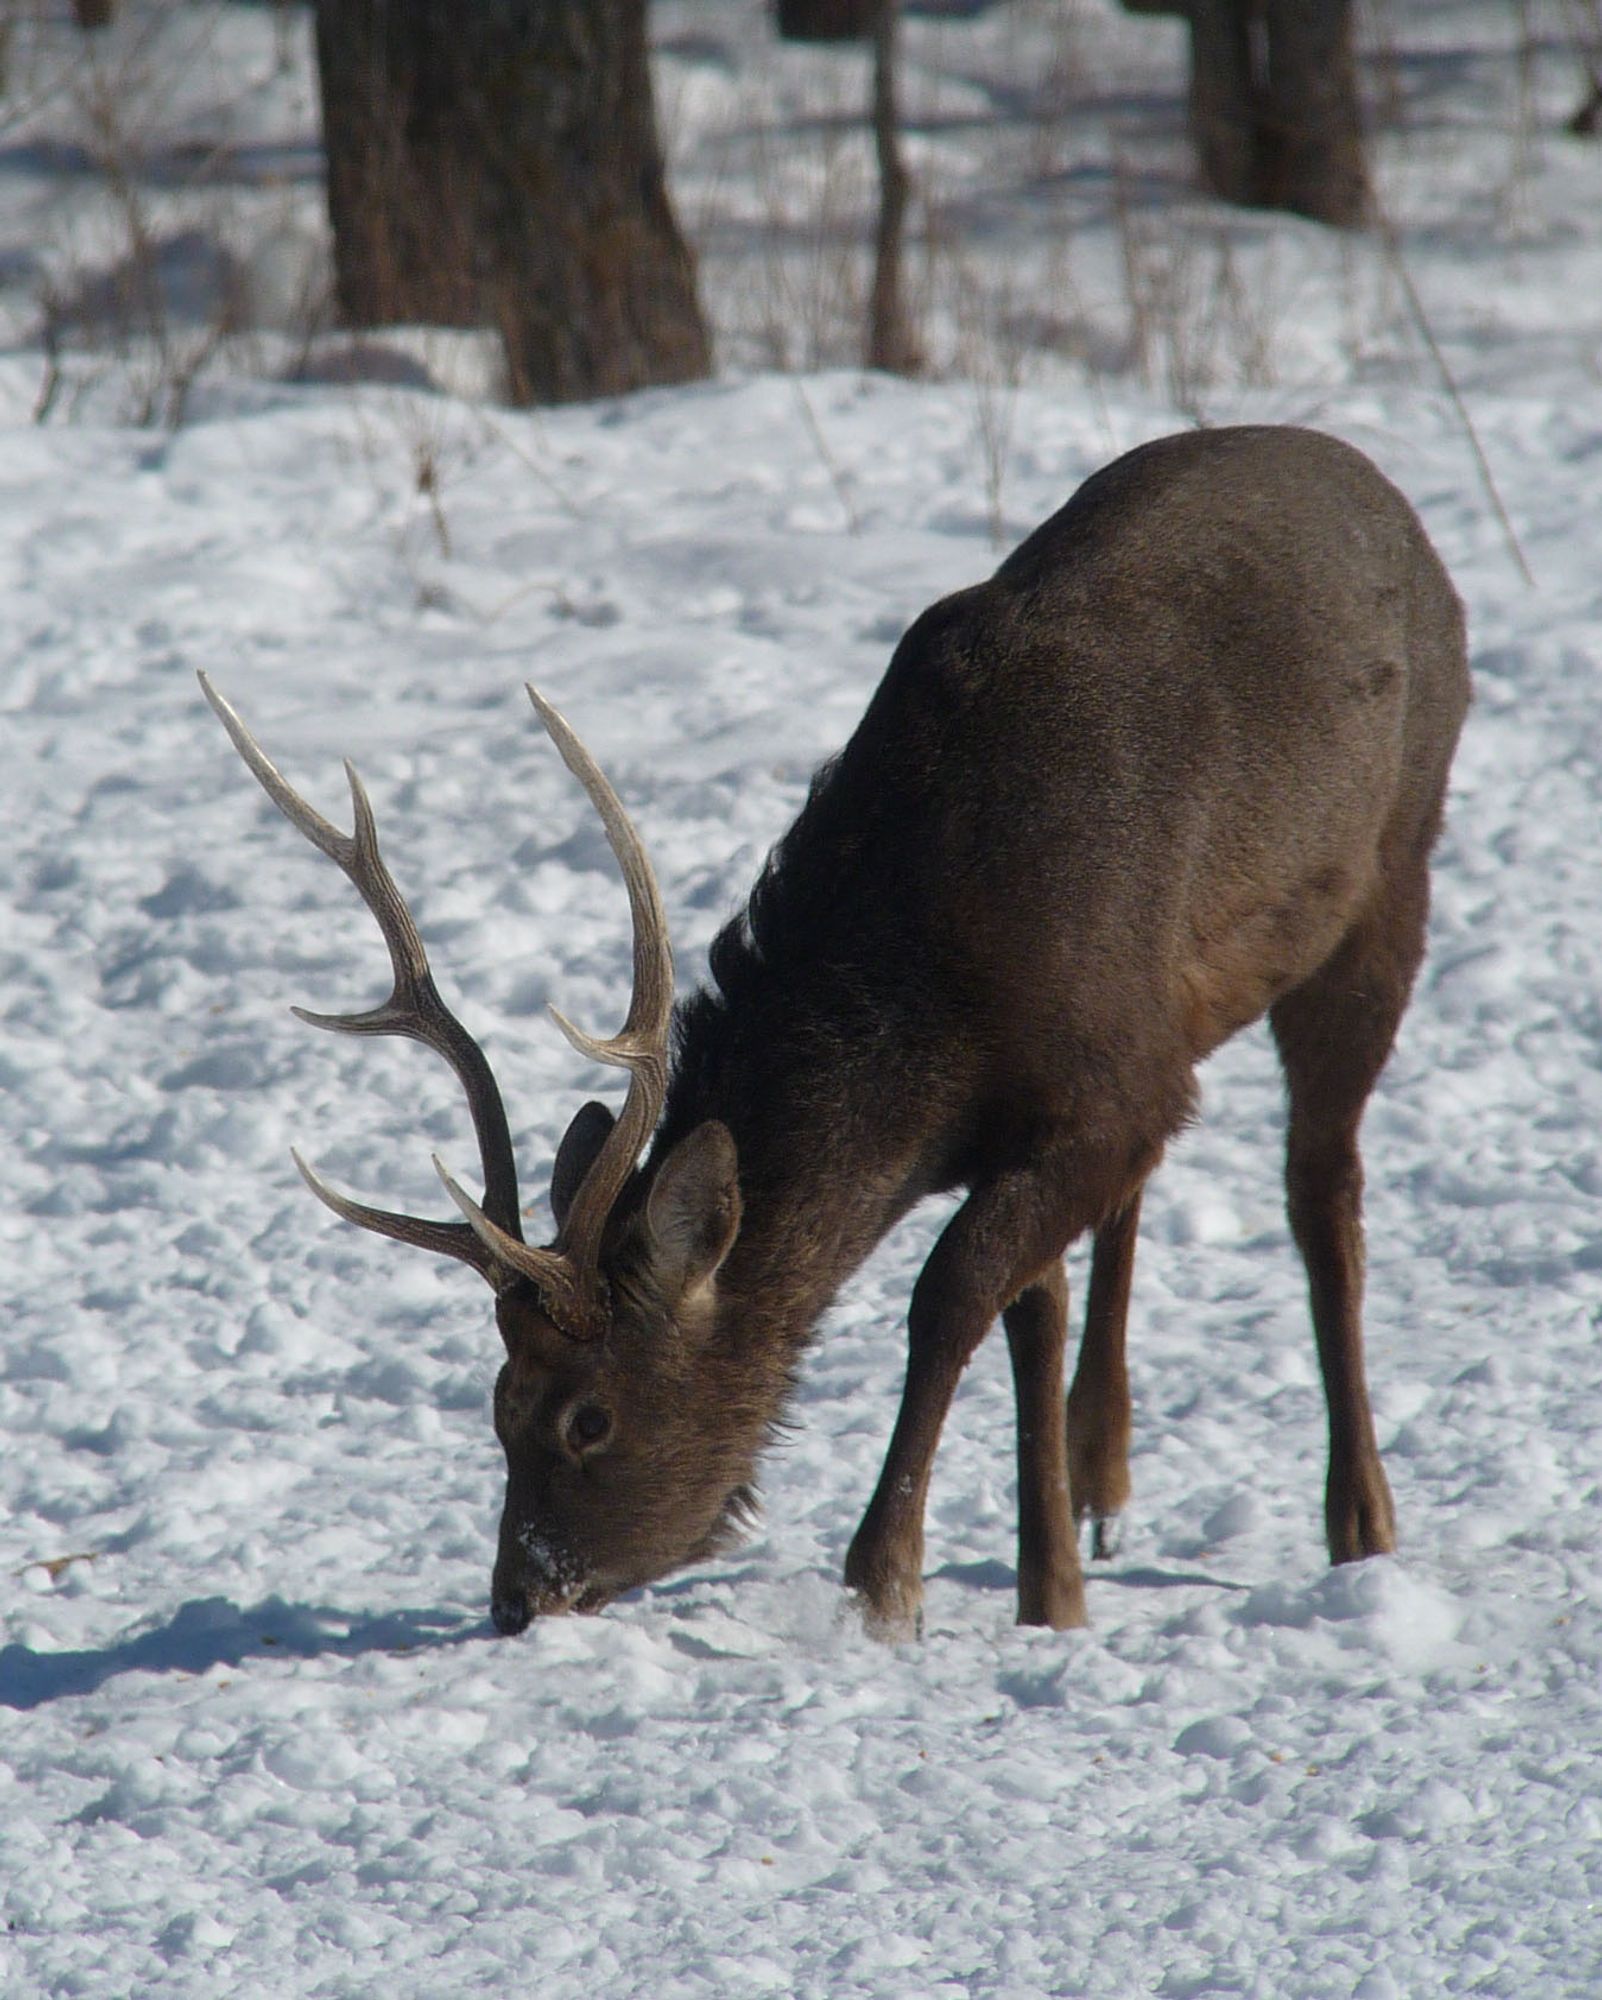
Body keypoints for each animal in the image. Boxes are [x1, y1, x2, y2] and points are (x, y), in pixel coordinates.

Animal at [206, 426, 1472, 1640]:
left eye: (588, 1416)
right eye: (495, 1400)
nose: (519, 1595)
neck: (936, 1011)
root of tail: (1400, 509)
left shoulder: (1111, 1086)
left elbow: (951, 1293)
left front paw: (886, 1583)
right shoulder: (1094, 1096)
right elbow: (1034, 1306)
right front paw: (1049, 1588)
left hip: (1387, 884)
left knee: (1323, 1185)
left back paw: (1361, 1517)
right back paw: (1107, 1476)